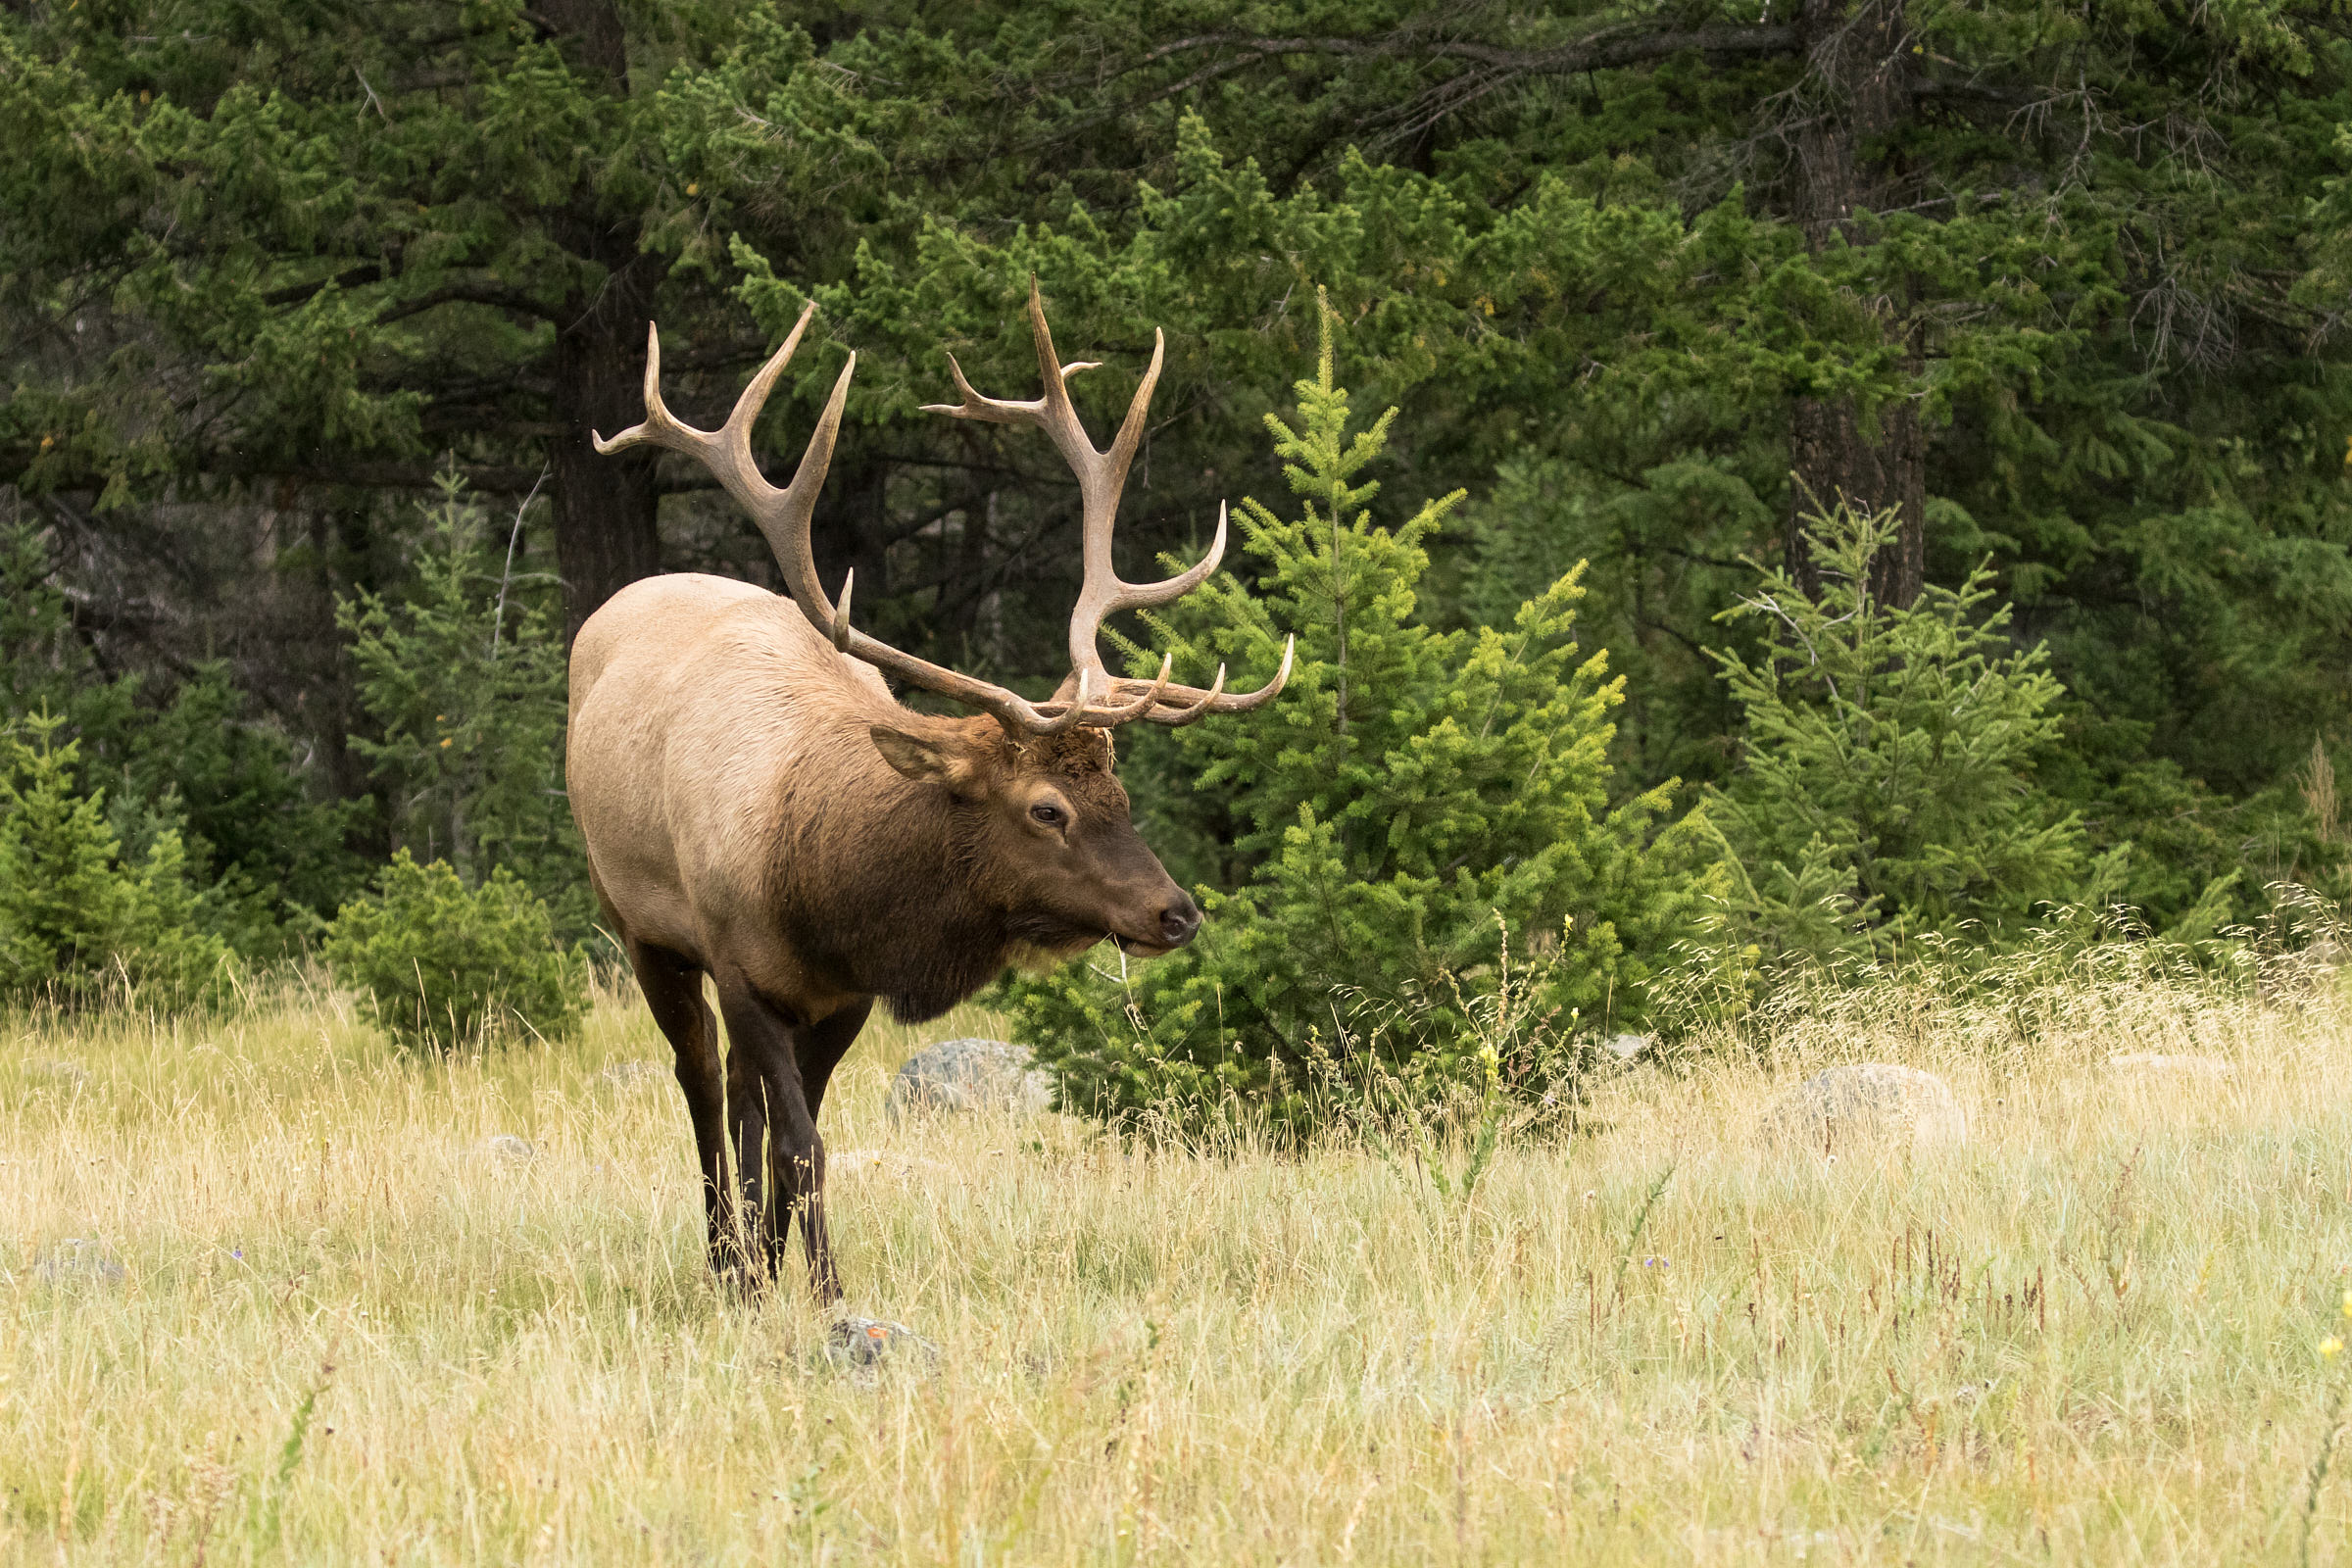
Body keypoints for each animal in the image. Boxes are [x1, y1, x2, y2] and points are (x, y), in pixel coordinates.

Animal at [568, 284, 1291, 1300]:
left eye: (1121, 793)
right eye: (1045, 809)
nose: (1176, 913)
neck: (813, 887)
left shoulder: (843, 995)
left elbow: (795, 1140)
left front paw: (785, 1270)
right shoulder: (740, 963)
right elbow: (800, 1145)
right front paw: (823, 1290)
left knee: (739, 1098)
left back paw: (747, 1264)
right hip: (639, 924)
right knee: (703, 1084)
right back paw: (722, 1262)